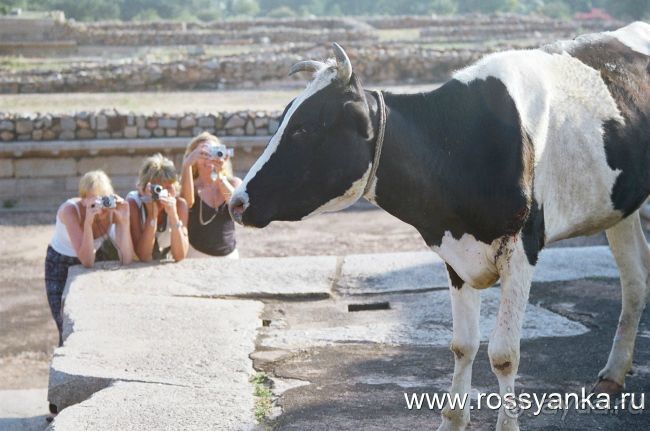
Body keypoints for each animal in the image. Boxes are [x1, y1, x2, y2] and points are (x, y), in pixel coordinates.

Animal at [228, 23, 648, 431]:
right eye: (282, 121)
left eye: (304, 128)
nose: (236, 202)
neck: (458, 146)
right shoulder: (454, 252)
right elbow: (463, 345)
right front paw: (453, 420)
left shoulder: (522, 247)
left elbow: (503, 353)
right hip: (620, 209)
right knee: (634, 278)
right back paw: (613, 374)